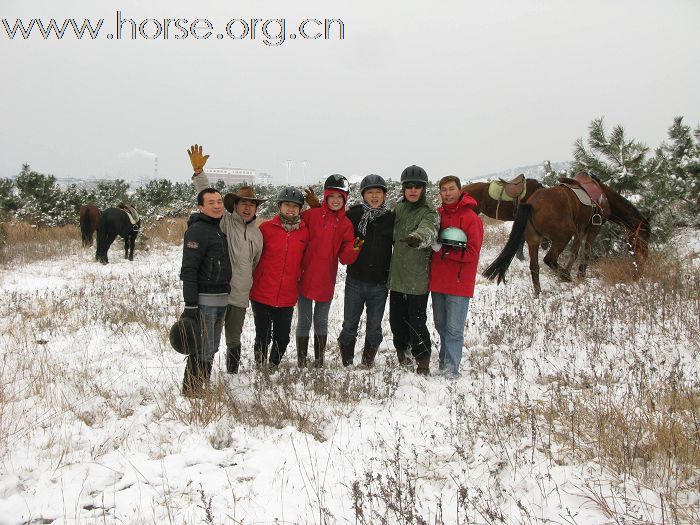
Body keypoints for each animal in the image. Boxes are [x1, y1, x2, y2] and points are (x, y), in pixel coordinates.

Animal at [482, 176, 652, 294]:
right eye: (644, 237)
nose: (644, 259)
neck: (605, 197)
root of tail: (531, 204)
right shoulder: (592, 228)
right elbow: (585, 252)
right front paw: (579, 274)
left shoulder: (580, 230)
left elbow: (575, 251)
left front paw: (572, 271)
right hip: (562, 237)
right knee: (549, 259)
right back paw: (564, 276)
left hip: (533, 240)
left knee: (534, 267)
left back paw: (539, 293)